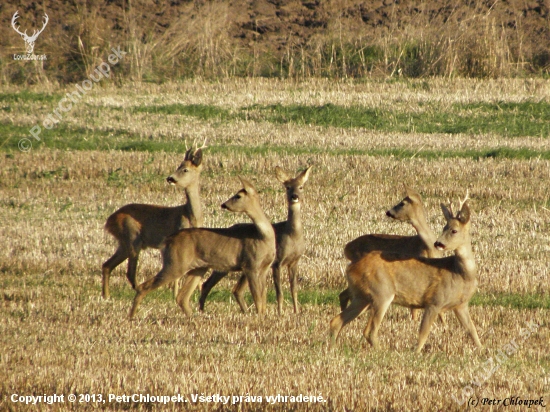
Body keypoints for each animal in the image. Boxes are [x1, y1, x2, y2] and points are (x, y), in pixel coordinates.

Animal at [102, 140, 207, 298]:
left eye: (185, 169)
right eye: (178, 166)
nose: (170, 178)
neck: (190, 216)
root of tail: (110, 220)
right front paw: (175, 295)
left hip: (124, 242)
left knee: (107, 265)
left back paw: (106, 296)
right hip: (132, 237)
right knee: (129, 272)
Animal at [129, 177, 276, 318]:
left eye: (238, 196)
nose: (224, 204)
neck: (263, 236)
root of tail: (167, 240)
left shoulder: (264, 268)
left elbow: (263, 299)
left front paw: (263, 317)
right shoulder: (250, 265)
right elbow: (258, 299)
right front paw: (259, 318)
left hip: (198, 268)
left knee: (182, 297)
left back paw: (195, 317)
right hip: (176, 264)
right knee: (144, 287)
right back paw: (132, 316)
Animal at [198, 166, 312, 314]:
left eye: (301, 187)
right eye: (287, 187)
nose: (294, 196)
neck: (292, 235)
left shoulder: (294, 261)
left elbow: (294, 289)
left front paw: (296, 312)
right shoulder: (277, 262)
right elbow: (279, 291)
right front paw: (280, 312)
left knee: (236, 289)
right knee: (210, 284)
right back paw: (202, 309)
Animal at [332, 192, 484, 352]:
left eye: (454, 230)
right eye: (444, 228)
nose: (438, 243)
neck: (460, 273)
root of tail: (351, 268)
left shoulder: (461, 305)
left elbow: (472, 330)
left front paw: (482, 349)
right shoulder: (434, 300)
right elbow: (423, 332)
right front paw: (416, 353)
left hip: (362, 297)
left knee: (337, 320)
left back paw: (331, 348)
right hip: (381, 292)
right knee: (369, 330)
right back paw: (382, 351)